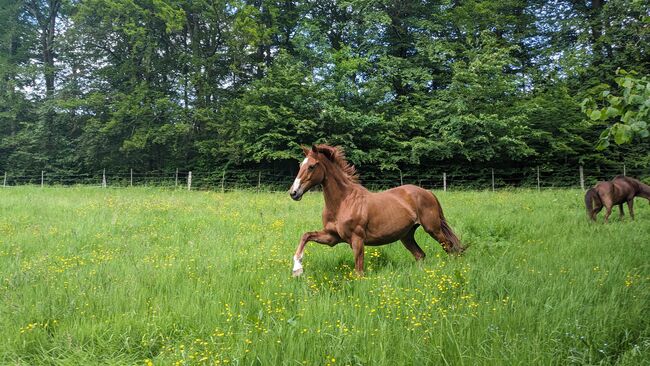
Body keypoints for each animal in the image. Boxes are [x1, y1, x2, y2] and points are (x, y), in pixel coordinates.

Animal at [288, 144, 460, 276]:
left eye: (311, 166)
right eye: (300, 165)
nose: (293, 193)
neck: (343, 202)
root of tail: (427, 192)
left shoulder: (357, 240)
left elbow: (359, 271)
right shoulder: (332, 237)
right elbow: (306, 236)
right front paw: (297, 269)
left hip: (432, 228)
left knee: (449, 247)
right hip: (406, 235)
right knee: (420, 255)